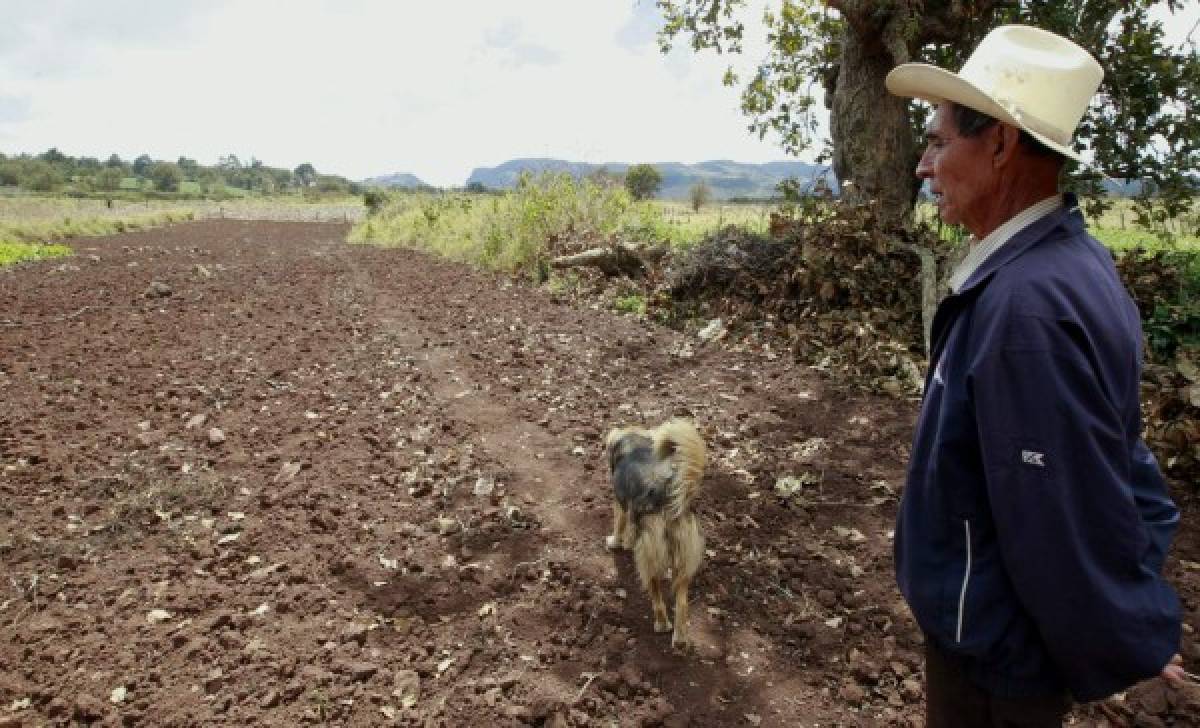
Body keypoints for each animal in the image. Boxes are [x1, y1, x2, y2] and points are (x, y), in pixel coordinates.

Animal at [600, 419, 700, 652]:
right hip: (683, 562)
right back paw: (679, 639)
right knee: (682, 602)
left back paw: (661, 624)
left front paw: (615, 543)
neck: (635, 446)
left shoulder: (620, 504)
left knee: (656, 593)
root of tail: (666, 493)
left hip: (648, 557)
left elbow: (619, 526)